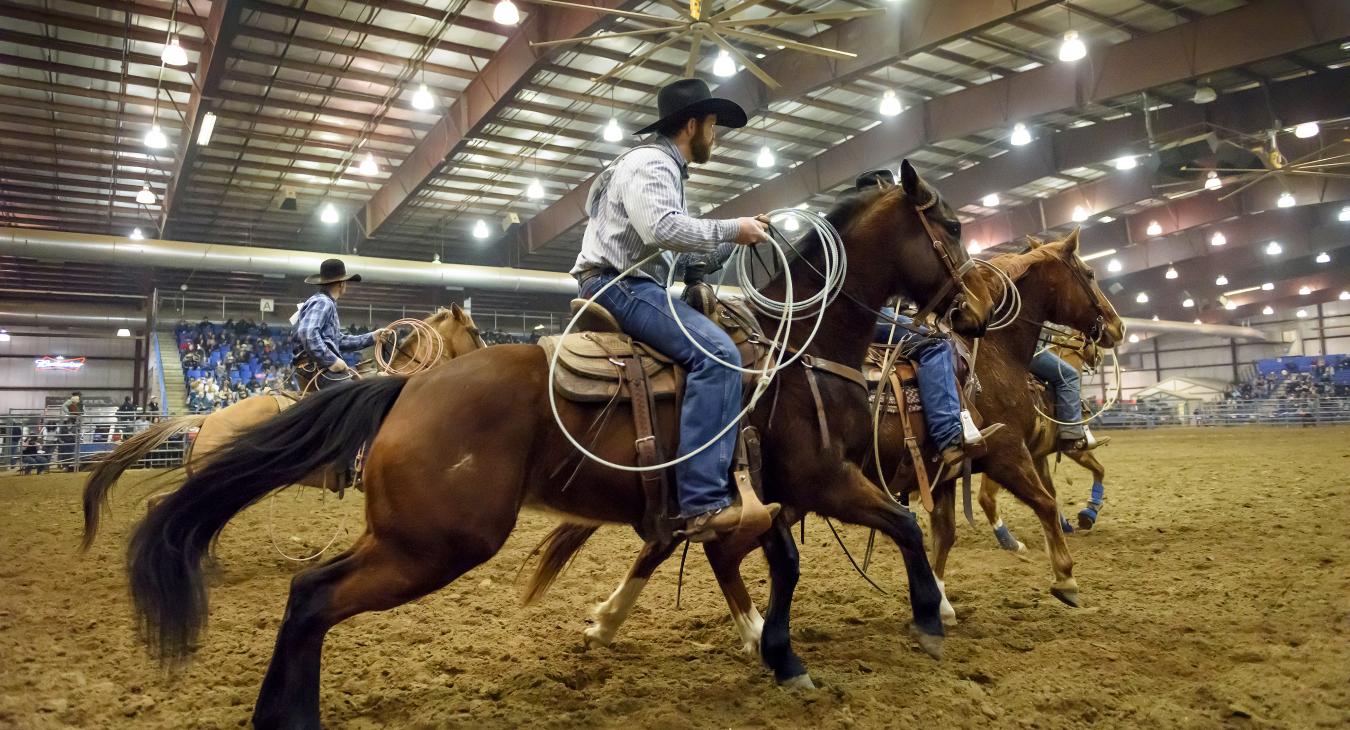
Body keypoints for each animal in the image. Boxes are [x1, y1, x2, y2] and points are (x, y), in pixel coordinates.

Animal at [102, 160, 993, 728]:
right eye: (950, 225)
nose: (980, 311)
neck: (799, 350)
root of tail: (410, 390)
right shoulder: (819, 480)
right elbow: (893, 528)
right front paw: (925, 616)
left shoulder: (772, 496)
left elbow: (786, 561)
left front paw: (780, 653)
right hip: (436, 543)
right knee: (315, 597)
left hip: (406, 535)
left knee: (305, 592)